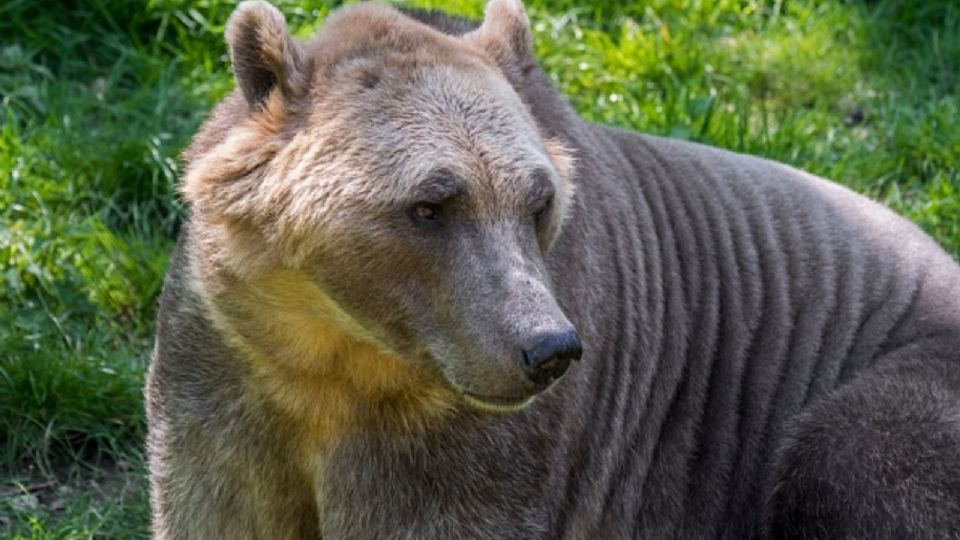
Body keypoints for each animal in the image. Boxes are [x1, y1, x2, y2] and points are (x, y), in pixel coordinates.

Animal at [144, 1, 960, 536]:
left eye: (538, 202)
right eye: (431, 204)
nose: (548, 349)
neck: (332, 353)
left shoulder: (474, 449)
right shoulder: (221, 373)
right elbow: (213, 504)